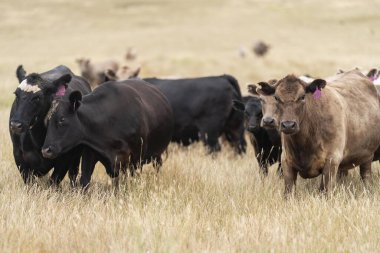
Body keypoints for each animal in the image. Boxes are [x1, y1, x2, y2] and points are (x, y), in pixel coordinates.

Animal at [41, 79, 172, 188]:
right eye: (47, 121)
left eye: (62, 119)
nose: (46, 150)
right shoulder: (90, 152)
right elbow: (84, 181)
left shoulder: (135, 156)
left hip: (155, 154)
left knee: (157, 167)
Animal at [249, 70, 380, 197]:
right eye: (276, 97)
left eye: (302, 97)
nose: (288, 125)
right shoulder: (286, 161)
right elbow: (289, 192)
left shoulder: (332, 161)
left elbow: (325, 191)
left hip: (367, 157)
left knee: (365, 176)